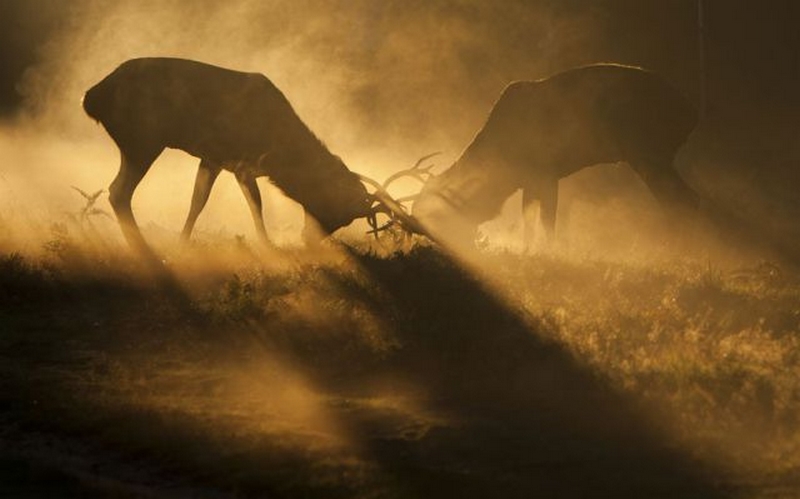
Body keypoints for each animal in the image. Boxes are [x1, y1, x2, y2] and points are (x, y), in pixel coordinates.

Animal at [82, 57, 422, 256]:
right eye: (341, 212)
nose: (309, 240)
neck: (280, 153)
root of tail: (91, 98)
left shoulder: (213, 158)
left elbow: (197, 203)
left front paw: (183, 243)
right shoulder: (243, 163)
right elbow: (256, 207)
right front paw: (268, 246)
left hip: (139, 142)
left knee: (118, 191)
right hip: (142, 139)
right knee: (118, 191)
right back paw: (141, 248)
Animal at [412, 63, 700, 249]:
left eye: (436, 215)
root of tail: (691, 112)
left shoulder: (546, 174)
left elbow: (546, 222)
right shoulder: (532, 181)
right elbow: (531, 221)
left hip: (649, 154)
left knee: (681, 202)